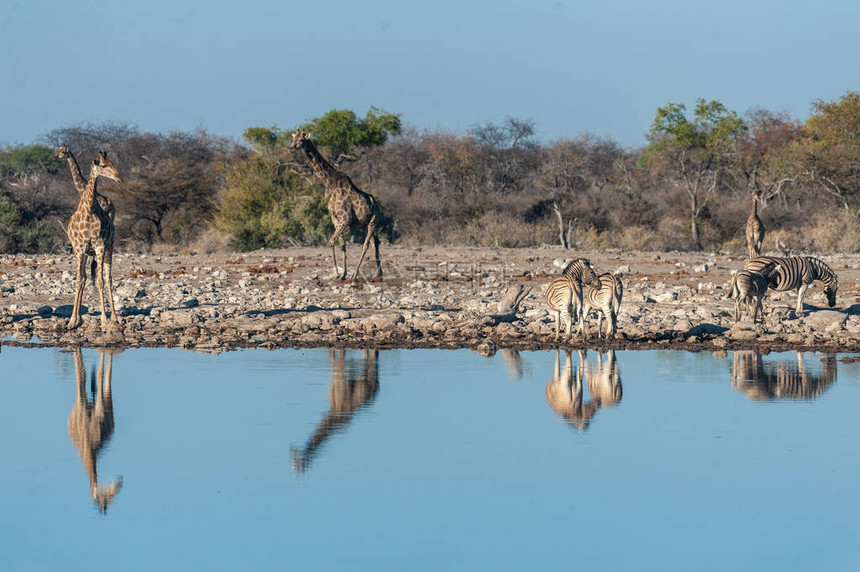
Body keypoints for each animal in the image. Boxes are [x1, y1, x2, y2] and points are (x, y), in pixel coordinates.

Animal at [66, 151, 122, 330]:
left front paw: (104, 319)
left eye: (112, 163)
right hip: (87, 253)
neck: (89, 210)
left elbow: (100, 281)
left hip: (109, 249)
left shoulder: (100, 246)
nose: (119, 177)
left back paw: (114, 317)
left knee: (108, 279)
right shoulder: (80, 249)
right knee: (85, 278)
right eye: (103, 165)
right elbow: (79, 280)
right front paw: (73, 320)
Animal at [288, 130, 382, 282]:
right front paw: (342, 274)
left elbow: (331, 242)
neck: (332, 186)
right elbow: (342, 245)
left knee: (366, 245)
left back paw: (356, 274)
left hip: (372, 223)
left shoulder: (345, 218)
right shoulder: (336, 219)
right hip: (365, 225)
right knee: (375, 244)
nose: (290, 149)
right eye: (293, 139)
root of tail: (378, 208)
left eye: (301, 140)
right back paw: (379, 274)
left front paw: (336, 273)